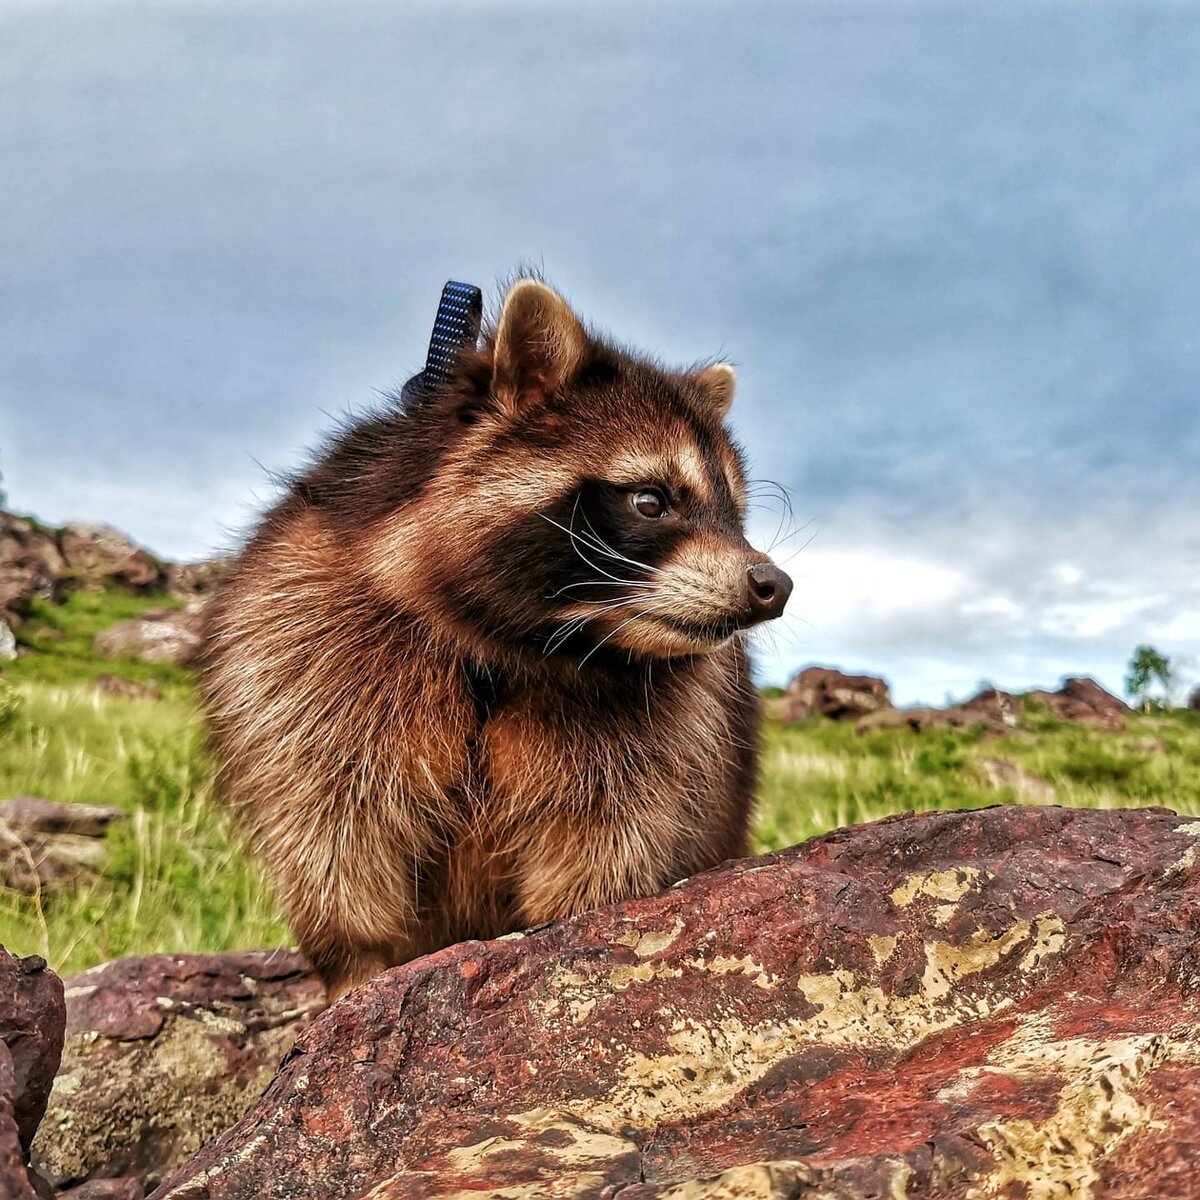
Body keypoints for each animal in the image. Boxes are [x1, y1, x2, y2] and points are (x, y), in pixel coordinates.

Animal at [201, 276, 792, 998]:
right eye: (651, 501)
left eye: (734, 514)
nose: (774, 584)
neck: (533, 643)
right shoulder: (311, 648)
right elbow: (335, 837)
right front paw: (354, 972)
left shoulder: (655, 735)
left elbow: (607, 841)